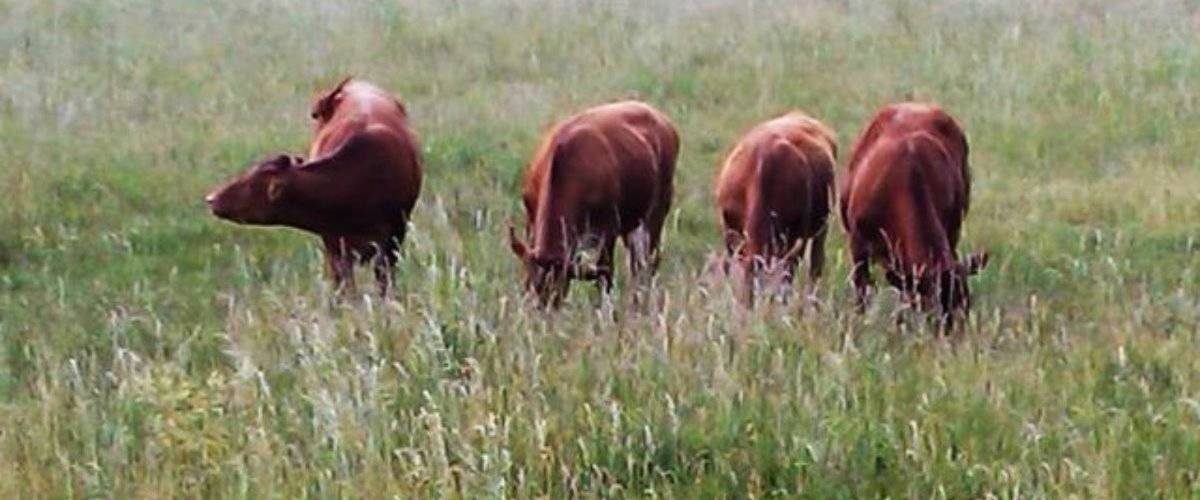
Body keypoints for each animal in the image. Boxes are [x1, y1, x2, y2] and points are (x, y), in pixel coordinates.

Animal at [504, 100, 676, 304]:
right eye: (531, 286)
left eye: (559, 289)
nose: (541, 310)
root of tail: (665, 122)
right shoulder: (531, 222)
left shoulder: (608, 230)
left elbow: (605, 279)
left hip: (657, 212)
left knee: (649, 263)